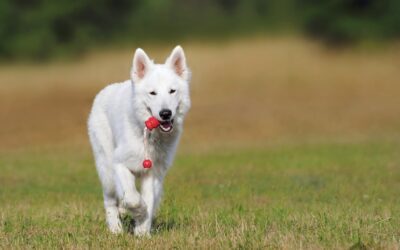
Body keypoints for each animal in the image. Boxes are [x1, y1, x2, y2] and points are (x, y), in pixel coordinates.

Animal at [88, 46, 191, 235]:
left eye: (172, 91)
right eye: (153, 93)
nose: (165, 113)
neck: (149, 134)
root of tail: (105, 90)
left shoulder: (152, 173)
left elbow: (148, 199)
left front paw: (142, 231)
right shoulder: (119, 164)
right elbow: (133, 197)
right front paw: (138, 212)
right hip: (106, 168)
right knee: (110, 200)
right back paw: (115, 229)